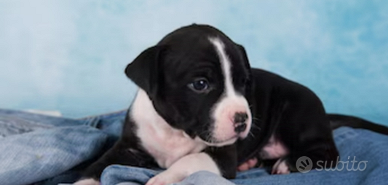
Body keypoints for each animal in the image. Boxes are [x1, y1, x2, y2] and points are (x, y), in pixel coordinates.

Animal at [73, 23, 340, 184]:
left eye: (244, 83)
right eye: (200, 84)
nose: (242, 119)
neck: (175, 132)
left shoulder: (221, 154)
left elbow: (191, 160)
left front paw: (163, 178)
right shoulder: (127, 147)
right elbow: (99, 166)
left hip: (298, 112)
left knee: (328, 152)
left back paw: (288, 162)